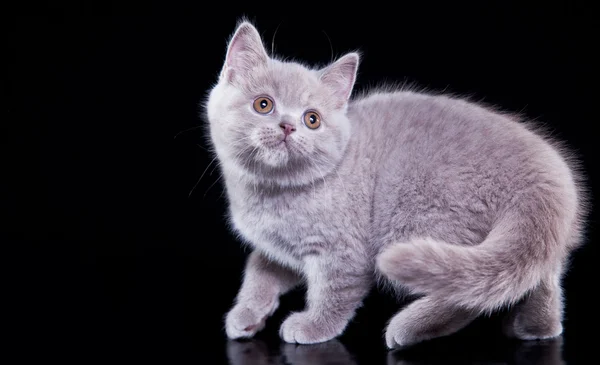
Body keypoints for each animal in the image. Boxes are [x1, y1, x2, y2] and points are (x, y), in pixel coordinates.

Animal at [205, 20, 584, 346]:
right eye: (263, 104)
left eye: (312, 119)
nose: (288, 126)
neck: (274, 193)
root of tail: (545, 177)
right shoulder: (281, 248)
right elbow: (258, 270)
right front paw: (246, 314)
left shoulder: (343, 251)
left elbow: (334, 291)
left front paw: (313, 326)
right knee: (536, 277)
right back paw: (536, 326)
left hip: (418, 217)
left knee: (466, 294)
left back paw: (409, 328)